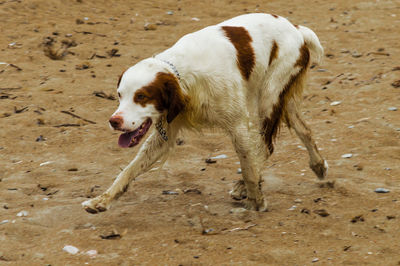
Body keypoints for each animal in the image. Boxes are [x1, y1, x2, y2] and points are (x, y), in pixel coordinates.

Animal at [82, 13, 328, 214]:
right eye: (120, 95)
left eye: (141, 96)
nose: (114, 121)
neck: (186, 78)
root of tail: (297, 29)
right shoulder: (166, 129)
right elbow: (129, 169)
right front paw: (101, 200)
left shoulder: (238, 125)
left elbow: (248, 166)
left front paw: (256, 201)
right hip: (284, 99)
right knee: (304, 130)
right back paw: (318, 166)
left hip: (269, 98)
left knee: (266, 146)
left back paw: (246, 187)